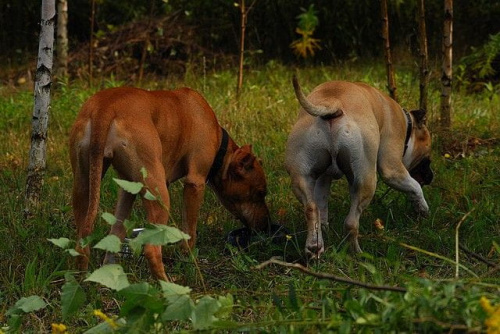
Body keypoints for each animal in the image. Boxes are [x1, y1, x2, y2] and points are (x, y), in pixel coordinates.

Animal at [70, 85, 270, 280]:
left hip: (84, 186)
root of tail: (106, 106)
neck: (221, 145)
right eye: (260, 193)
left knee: (89, 240)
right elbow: (190, 233)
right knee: (151, 249)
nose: (266, 225)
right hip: (159, 194)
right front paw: (189, 260)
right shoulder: (195, 183)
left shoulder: (128, 188)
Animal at [286, 77, 434, 258]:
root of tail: (332, 103)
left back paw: (315, 246)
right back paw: (356, 253)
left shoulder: (323, 178)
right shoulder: (392, 169)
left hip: (302, 178)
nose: (431, 176)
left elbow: (322, 203)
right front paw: (423, 209)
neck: (407, 124)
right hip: (366, 180)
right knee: (351, 223)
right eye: (428, 157)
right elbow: (415, 186)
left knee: (312, 209)